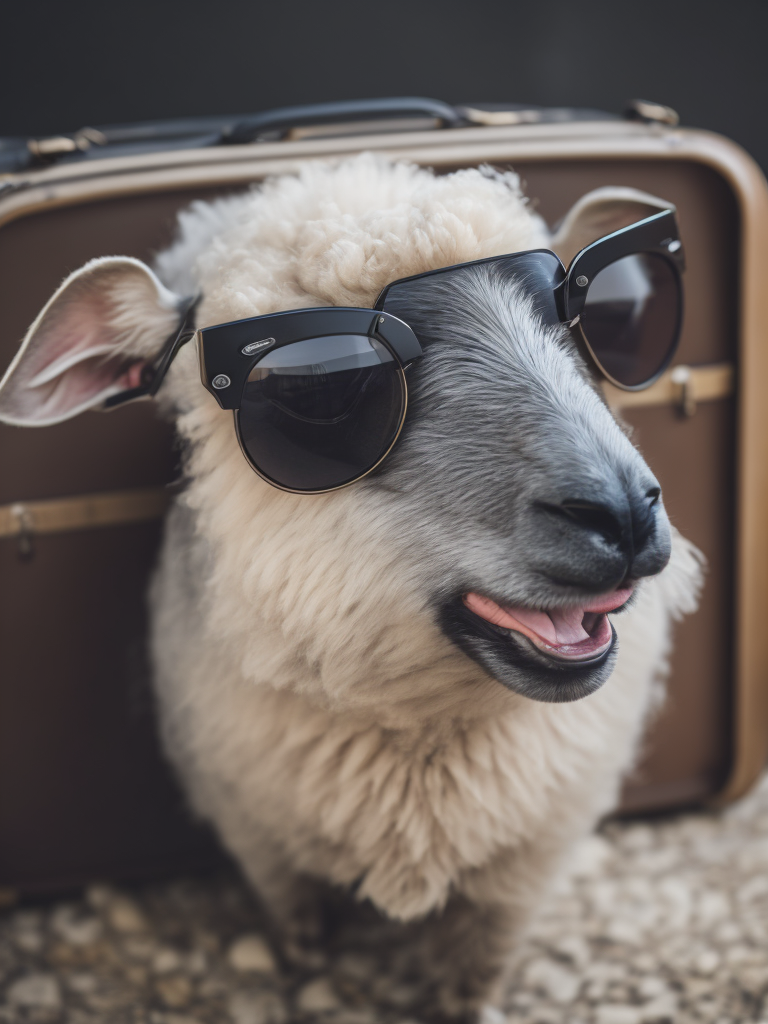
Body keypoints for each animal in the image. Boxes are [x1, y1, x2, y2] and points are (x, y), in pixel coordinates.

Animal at [0, 154, 702, 1022]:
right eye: (316, 392)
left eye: (588, 317)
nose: (621, 512)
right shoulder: (261, 836)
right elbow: (296, 918)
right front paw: (302, 961)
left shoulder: (523, 869)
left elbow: (477, 965)